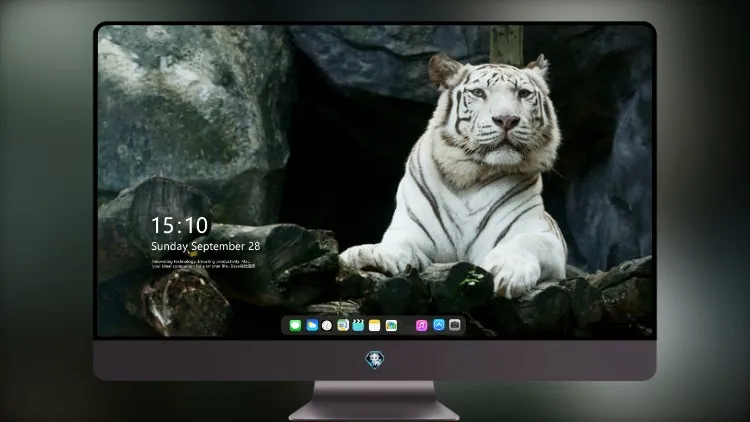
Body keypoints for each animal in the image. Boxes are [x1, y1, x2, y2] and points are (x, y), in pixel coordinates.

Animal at [339, 52, 567, 299]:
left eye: (523, 93)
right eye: (479, 92)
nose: (506, 119)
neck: (470, 178)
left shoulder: (541, 235)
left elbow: (527, 241)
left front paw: (510, 270)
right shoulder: (413, 233)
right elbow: (396, 244)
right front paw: (365, 254)